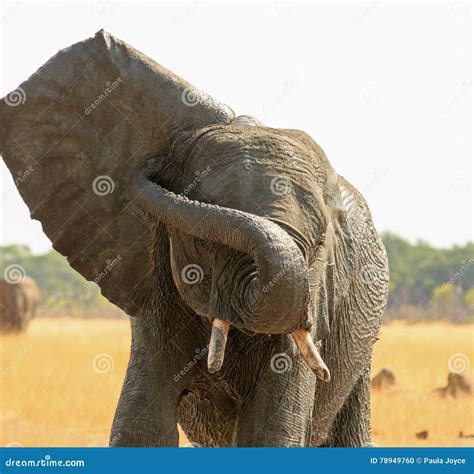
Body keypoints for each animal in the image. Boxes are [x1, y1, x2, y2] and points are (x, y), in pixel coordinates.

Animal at [0, 31, 388, 446]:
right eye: (202, 241)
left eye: (318, 248)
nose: (153, 167)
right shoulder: (156, 287)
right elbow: (143, 426)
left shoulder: (314, 298)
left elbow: (273, 430)